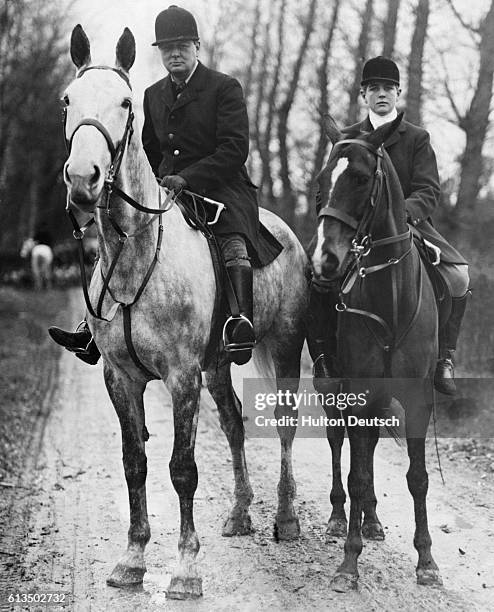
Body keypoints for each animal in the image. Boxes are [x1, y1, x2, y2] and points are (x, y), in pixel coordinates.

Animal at [62, 25, 308, 596]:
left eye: (125, 103)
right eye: (67, 100)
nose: (83, 180)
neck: (135, 254)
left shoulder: (180, 376)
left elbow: (183, 469)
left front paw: (186, 569)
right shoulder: (121, 377)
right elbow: (135, 463)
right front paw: (132, 559)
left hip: (285, 346)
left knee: (284, 426)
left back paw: (286, 518)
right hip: (217, 365)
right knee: (235, 422)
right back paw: (240, 513)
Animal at [312, 115, 440, 592]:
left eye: (362, 178)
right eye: (319, 183)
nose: (325, 261)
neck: (391, 297)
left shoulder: (417, 398)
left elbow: (417, 478)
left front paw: (427, 561)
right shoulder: (359, 391)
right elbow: (356, 471)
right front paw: (349, 564)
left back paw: (371, 520)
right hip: (334, 389)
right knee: (340, 446)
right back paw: (339, 517)